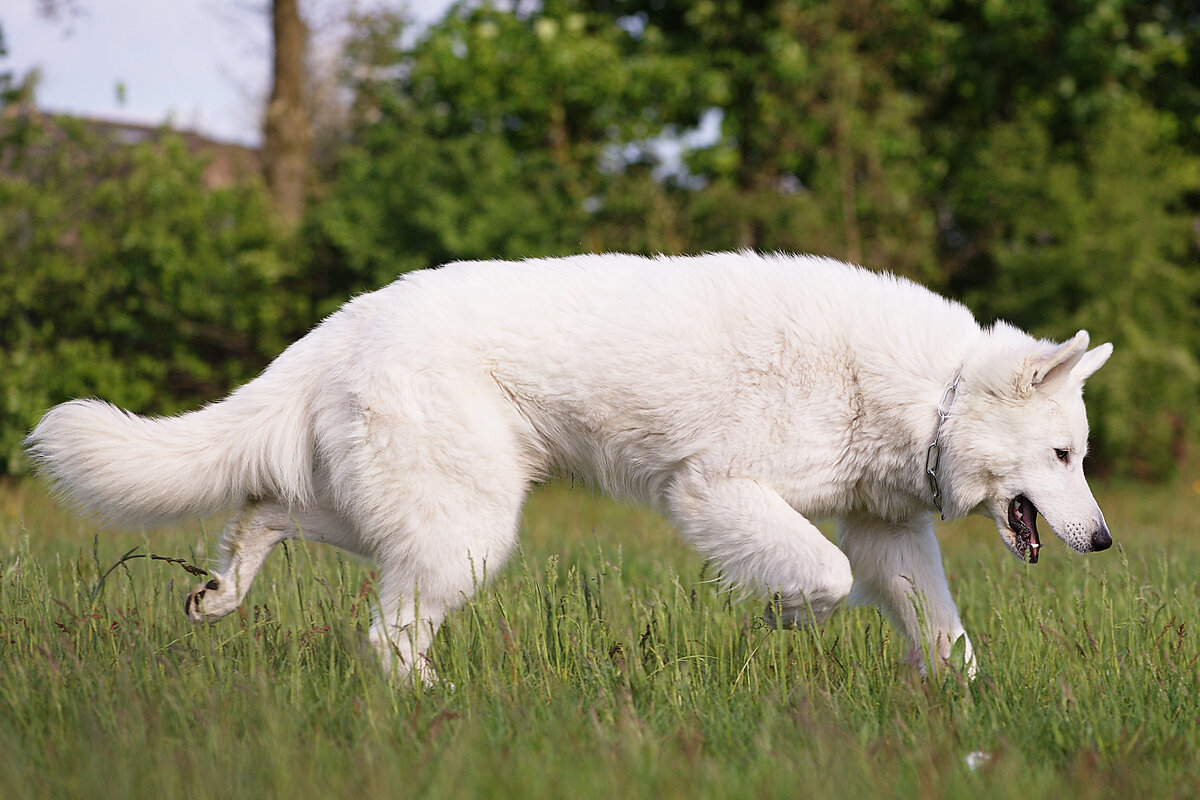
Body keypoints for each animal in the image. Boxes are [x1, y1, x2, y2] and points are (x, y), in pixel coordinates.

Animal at [25, 255, 1113, 681]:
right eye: (1063, 454)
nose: (1103, 540)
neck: (931, 394)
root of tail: (344, 322)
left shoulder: (893, 536)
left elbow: (944, 633)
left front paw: (969, 711)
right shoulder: (716, 490)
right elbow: (822, 576)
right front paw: (784, 614)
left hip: (422, 512)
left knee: (269, 508)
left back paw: (224, 586)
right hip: (467, 528)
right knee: (387, 636)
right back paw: (434, 711)